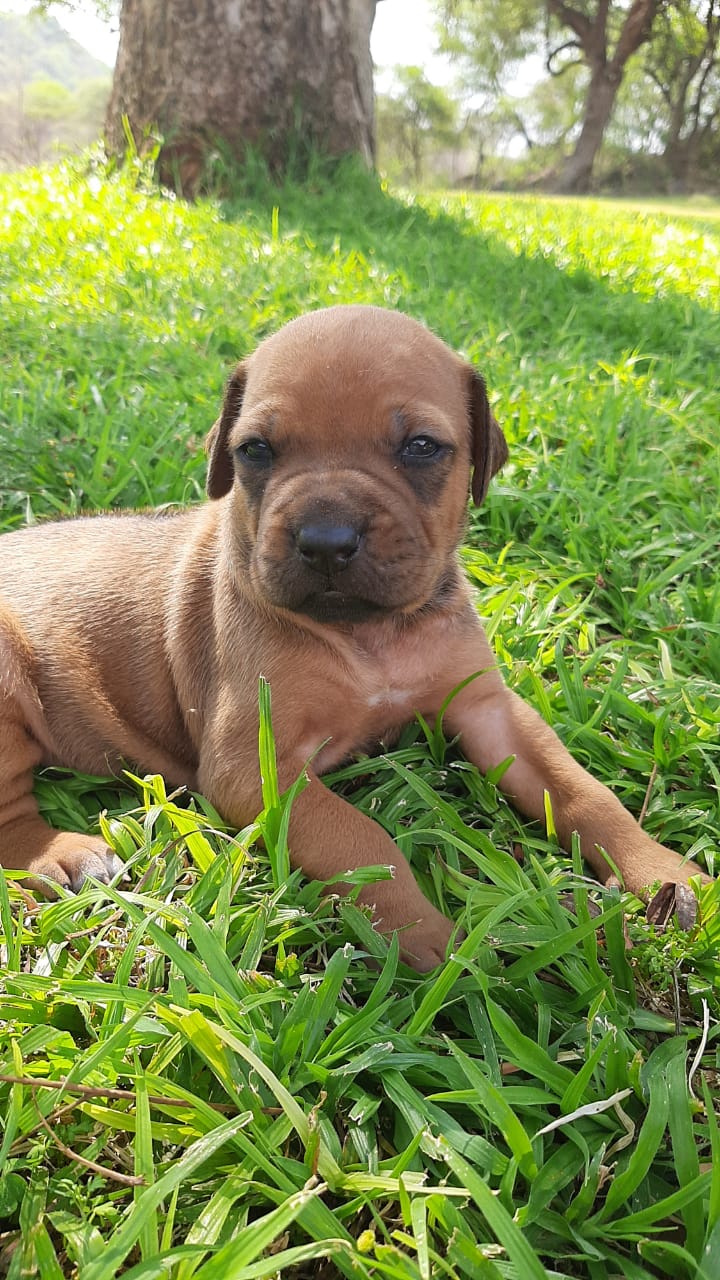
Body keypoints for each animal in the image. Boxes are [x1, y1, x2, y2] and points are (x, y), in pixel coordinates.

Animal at [0, 307, 707, 967]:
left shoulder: (490, 710)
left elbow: (582, 790)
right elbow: (364, 840)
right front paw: (437, 946)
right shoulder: (255, 770)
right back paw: (63, 855)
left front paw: (662, 872)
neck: (371, 634)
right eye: (255, 450)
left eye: (421, 446)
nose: (325, 541)